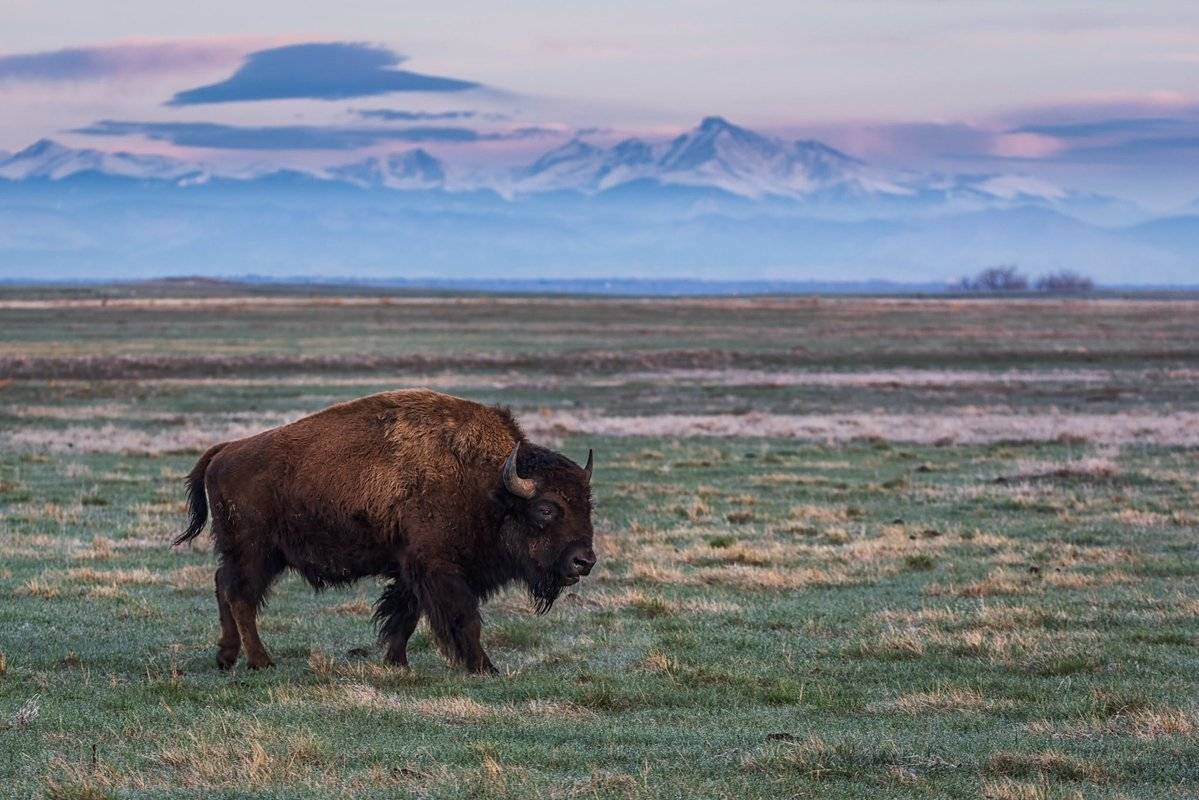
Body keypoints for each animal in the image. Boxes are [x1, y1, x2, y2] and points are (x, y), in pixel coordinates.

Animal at [175, 389, 596, 673]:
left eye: (588, 505)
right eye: (546, 508)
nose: (584, 561)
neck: (489, 486)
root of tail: (226, 450)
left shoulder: (410, 569)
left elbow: (404, 615)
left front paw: (397, 663)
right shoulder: (438, 568)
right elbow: (464, 618)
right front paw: (484, 667)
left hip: (254, 555)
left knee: (223, 586)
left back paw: (226, 657)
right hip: (255, 552)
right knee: (240, 596)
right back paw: (261, 661)